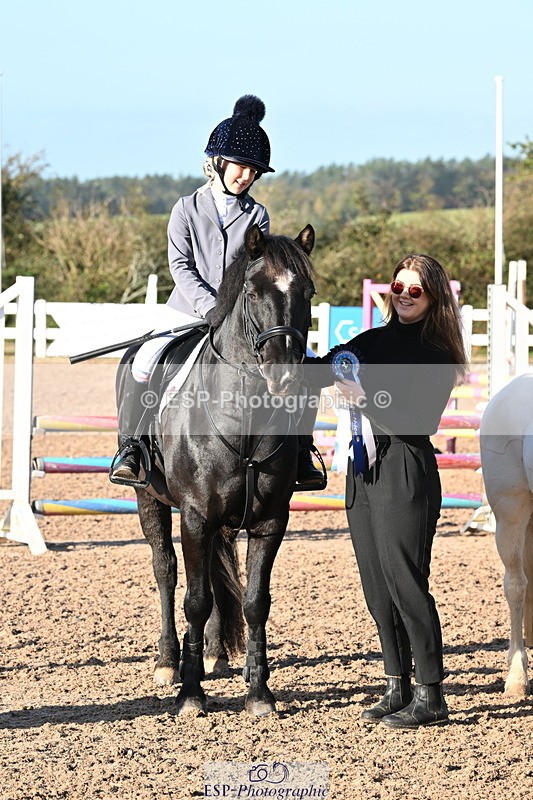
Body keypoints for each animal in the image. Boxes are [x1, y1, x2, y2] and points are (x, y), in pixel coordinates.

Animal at [117, 224, 316, 716]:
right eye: (253, 290)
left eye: (308, 292)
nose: (284, 376)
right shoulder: (194, 516)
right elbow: (195, 599)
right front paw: (190, 694)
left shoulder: (269, 521)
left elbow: (254, 601)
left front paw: (259, 692)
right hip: (149, 498)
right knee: (166, 570)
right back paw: (168, 662)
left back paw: (212, 655)